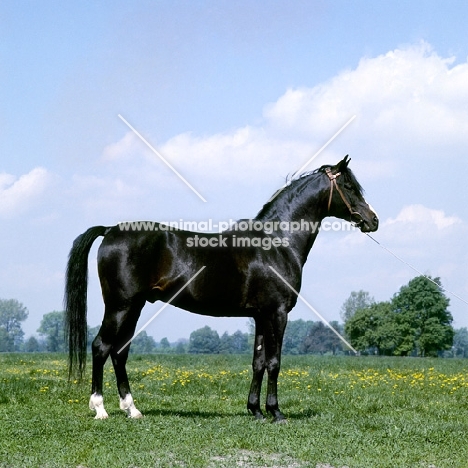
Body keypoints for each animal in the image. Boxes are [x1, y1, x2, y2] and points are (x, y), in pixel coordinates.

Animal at [64, 156, 378, 420]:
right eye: (349, 186)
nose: (373, 220)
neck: (276, 242)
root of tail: (110, 230)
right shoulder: (277, 313)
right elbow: (274, 362)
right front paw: (276, 413)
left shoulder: (261, 316)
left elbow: (258, 362)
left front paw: (256, 411)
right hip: (120, 306)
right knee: (101, 347)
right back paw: (100, 409)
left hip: (135, 307)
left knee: (119, 352)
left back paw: (132, 410)